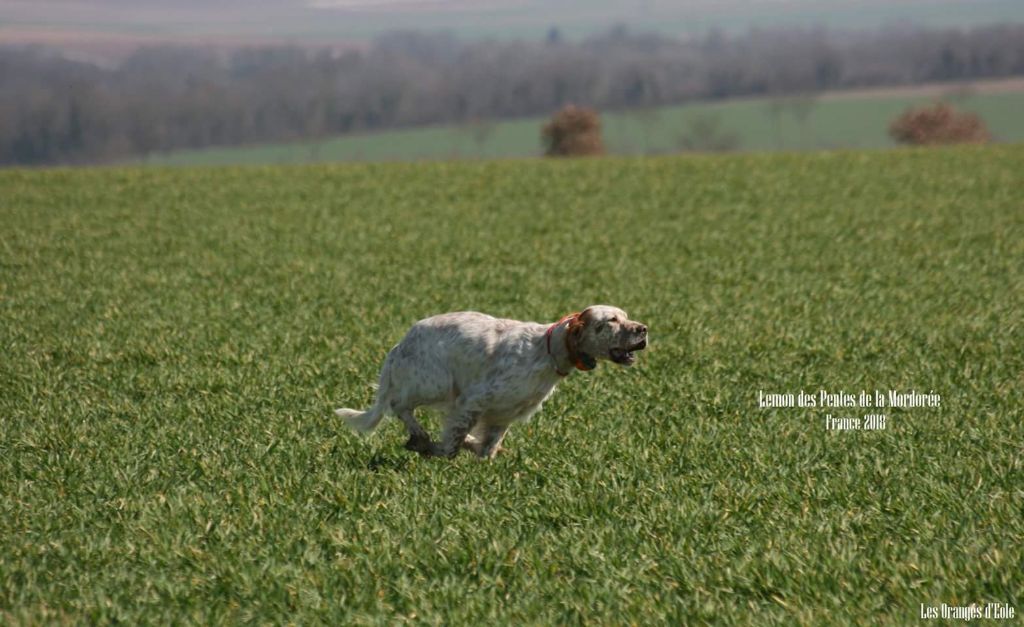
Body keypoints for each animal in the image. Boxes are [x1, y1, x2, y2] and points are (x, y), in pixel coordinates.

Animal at [335, 305, 647, 458]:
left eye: (627, 317)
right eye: (611, 320)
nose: (643, 329)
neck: (546, 351)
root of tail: (400, 344)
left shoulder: (502, 415)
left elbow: (488, 446)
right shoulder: (473, 400)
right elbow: (451, 444)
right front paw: (438, 451)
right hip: (434, 383)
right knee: (398, 405)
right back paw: (419, 438)